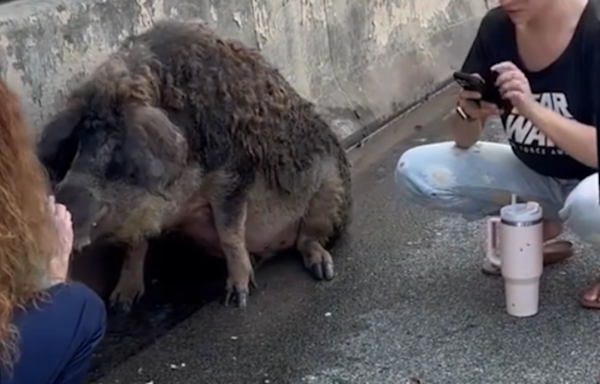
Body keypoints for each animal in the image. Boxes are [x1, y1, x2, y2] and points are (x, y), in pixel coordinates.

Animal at [36, 20, 352, 312]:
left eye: (116, 147)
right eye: (78, 145)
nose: (63, 202)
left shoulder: (234, 174)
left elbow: (230, 232)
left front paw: (237, 299)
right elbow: (135, 245)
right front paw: (120, 305)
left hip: (332, 191)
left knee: (309, 238)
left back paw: (323, 270)